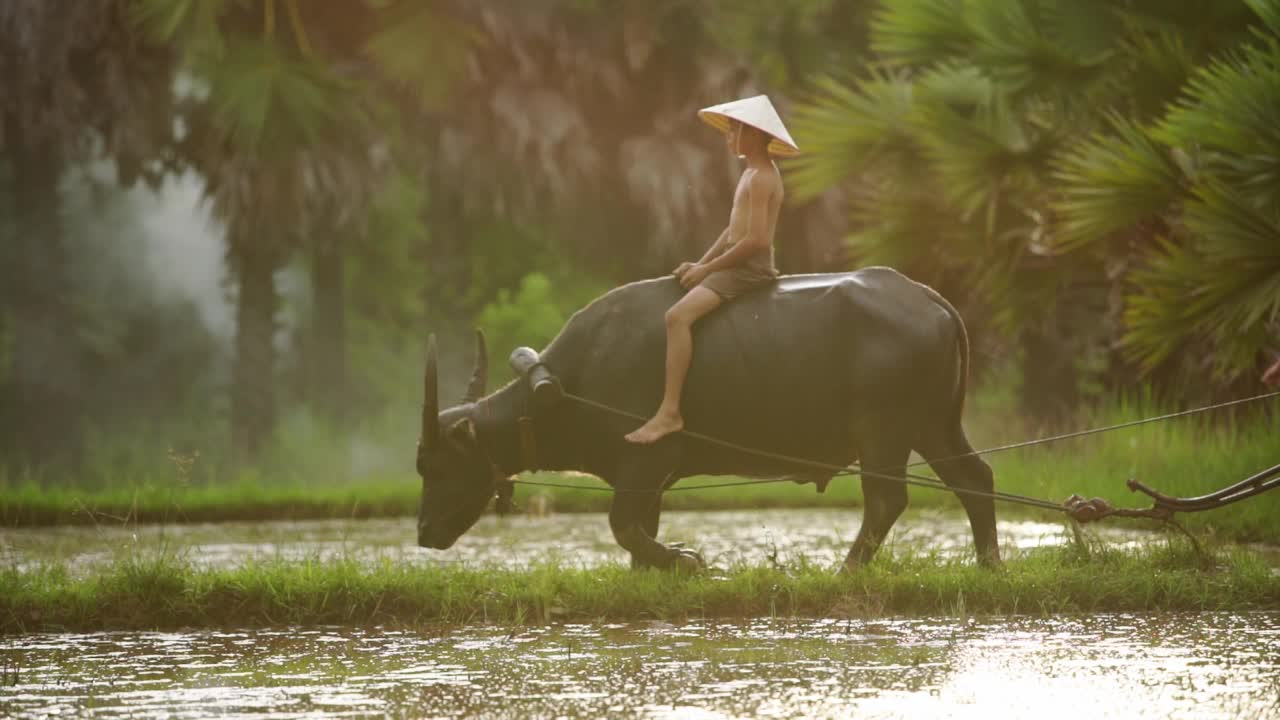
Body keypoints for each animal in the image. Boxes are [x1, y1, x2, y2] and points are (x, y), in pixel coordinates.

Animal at [417, 266, 998, 568]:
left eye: (437, 465)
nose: (423, 533)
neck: (567, 386)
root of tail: (929, 298)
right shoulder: (644, 477)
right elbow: (638, 533)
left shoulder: (649, 459)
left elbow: (623, 526)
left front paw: (688, 561)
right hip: (934, 424)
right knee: (975, 478)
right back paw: (989, 563)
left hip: (883, 428)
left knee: (885, 498)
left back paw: (845, 571)